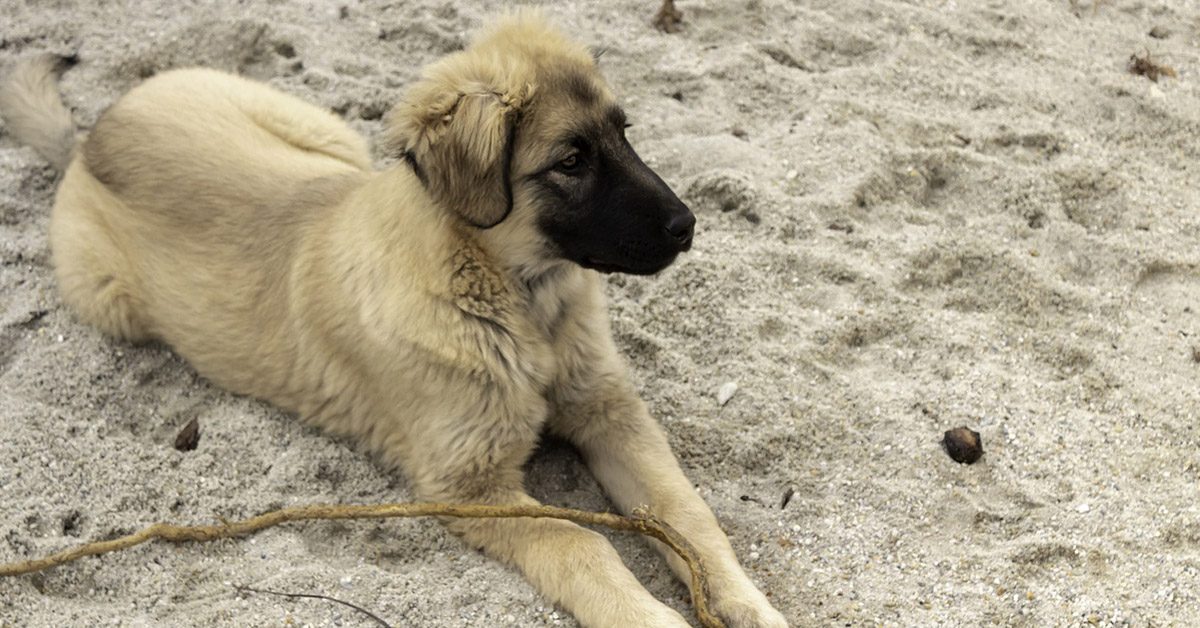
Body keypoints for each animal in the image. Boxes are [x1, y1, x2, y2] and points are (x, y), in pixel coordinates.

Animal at [2, 14, 787, 628]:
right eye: (571, 159)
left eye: (625, 133)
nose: (688, 227)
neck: (518, 300)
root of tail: (88, 139)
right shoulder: (470, 484)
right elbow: (580, 543)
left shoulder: (608, 409)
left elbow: (686, 512)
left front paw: (745, 601)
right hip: (111, 302)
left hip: (327, 137)